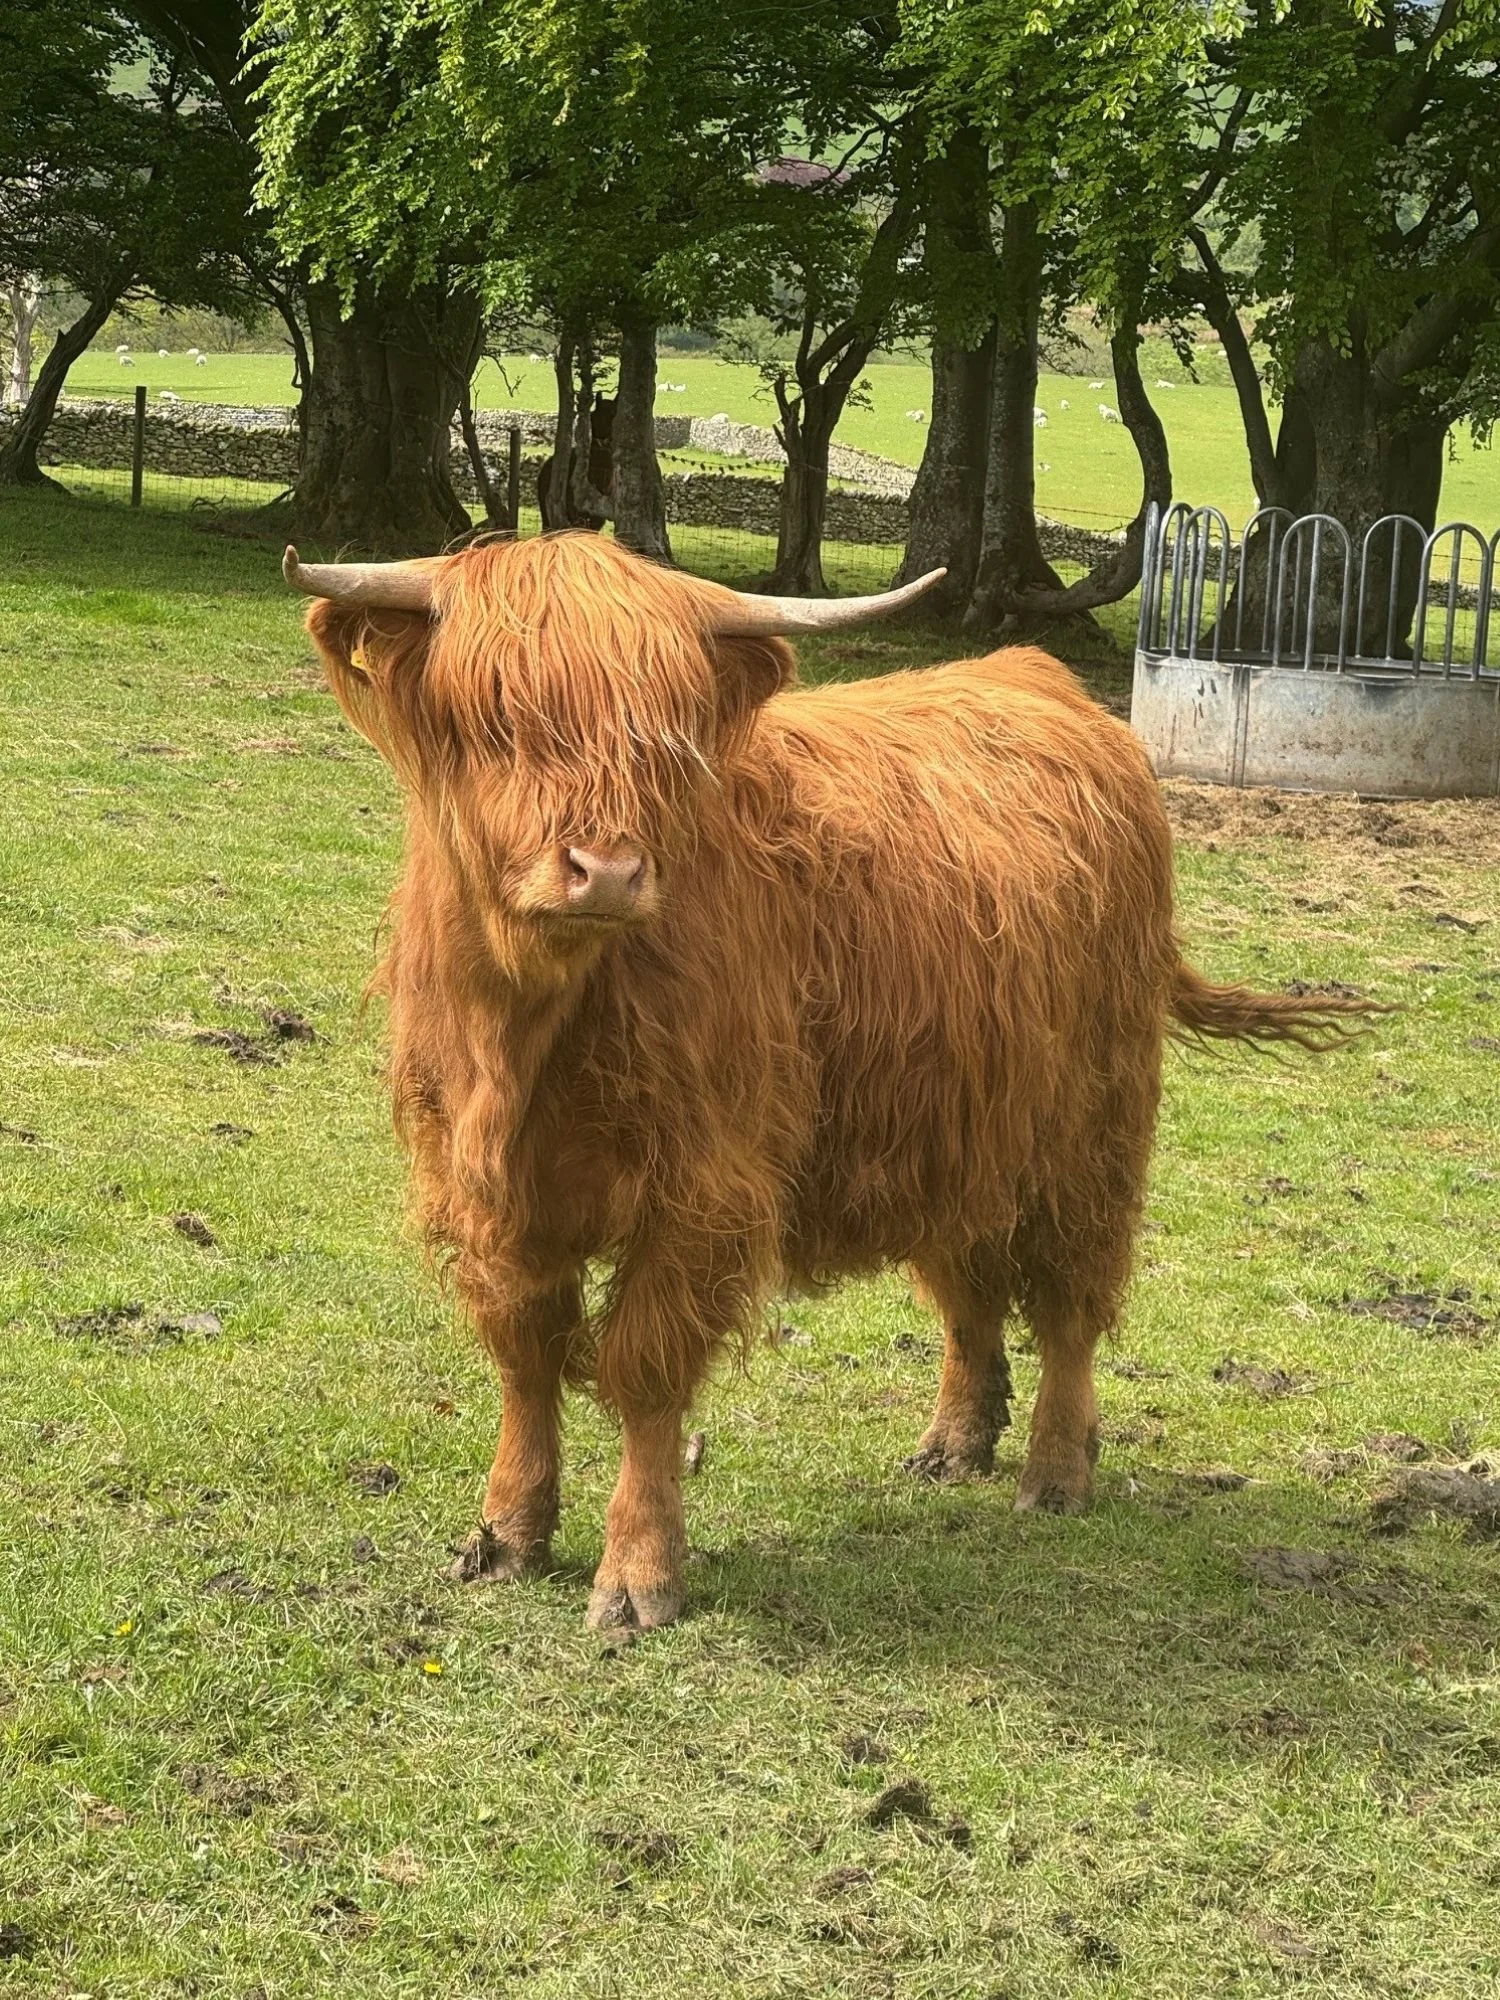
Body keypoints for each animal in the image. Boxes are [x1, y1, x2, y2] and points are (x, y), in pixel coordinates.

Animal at [284, 533, 1368, 1633]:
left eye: (666, 735)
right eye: (495, 717)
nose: (608, 870)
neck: (529, 1028)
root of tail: (1039, 678)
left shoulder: (702, 1184)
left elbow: (644, 1367)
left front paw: (638, 1574)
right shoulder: (486, 1184)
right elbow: (525, 1351)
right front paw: (507, 1531)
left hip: (1091, 1125)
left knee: (1071, 1298)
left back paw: (1056, 1472)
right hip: (957, 1126)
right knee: (970, 1282)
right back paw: (955, 1441)